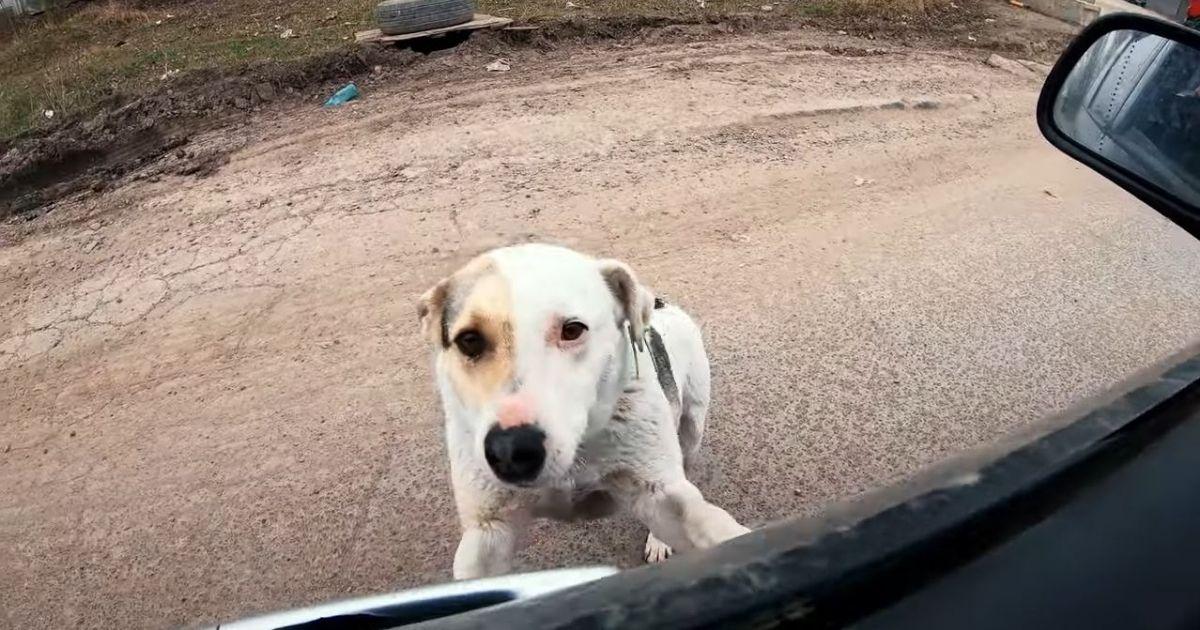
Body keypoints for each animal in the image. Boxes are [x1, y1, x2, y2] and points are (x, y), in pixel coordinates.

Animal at [417, 243, 744, 578]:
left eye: (573, 329)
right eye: (469, 341)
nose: (511, 451)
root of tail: (662, 306)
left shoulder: (659, 492)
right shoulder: (488, 530)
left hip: (690, 428)